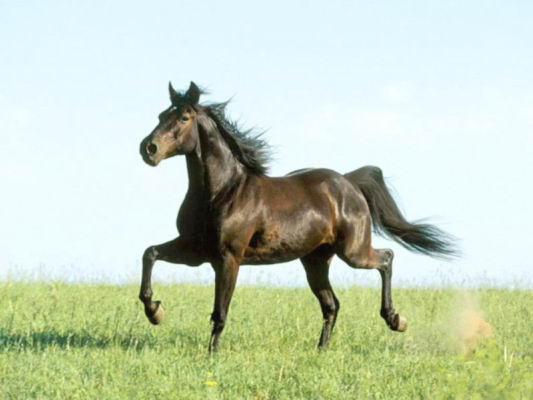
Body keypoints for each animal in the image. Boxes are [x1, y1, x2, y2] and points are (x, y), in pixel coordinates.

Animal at [136, 83, 454, 352]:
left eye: (184, 118)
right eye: (161, 115)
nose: (148, 149)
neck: (222, 192)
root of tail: (349, 182)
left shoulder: (228, 257)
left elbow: (220, 311)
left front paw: (211, 355)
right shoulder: (196, 250)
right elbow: (150, 253)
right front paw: (155, 312)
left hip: (353, 252)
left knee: (386, 258)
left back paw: (395, 320)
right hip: (315, 261)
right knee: (331, 305)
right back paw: (321, 350)